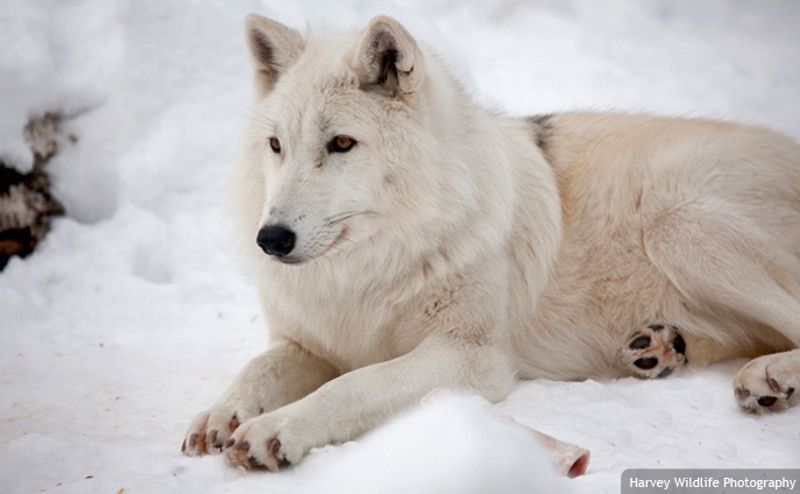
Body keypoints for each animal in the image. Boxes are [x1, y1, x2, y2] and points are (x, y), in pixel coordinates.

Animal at [183, 14, 800, 470]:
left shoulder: (470, 359)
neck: (369, 267)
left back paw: (769, 377)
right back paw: (662, 349)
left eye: (341, 143)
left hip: (679, 225)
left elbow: (354, 386)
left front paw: (276, 428)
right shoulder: (308, 344)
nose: (271, 239)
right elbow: (257, 368)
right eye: (275, 146)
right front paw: (221, 415)